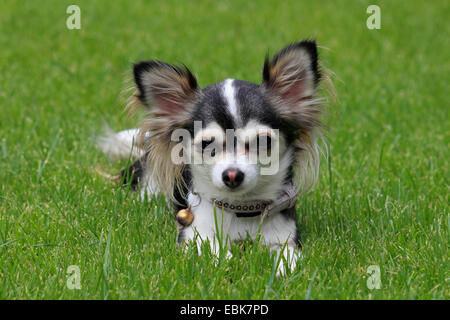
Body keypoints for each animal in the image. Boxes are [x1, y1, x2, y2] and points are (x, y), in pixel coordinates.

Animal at [99, 40, 326, 276]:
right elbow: (215, 251)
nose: (232, 175)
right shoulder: (195, 233)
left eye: (263, 141)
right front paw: (229, 265)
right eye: (206, 144)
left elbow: (288, 256)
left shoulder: (284, 238)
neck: (241, 211)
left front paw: (285, 270)